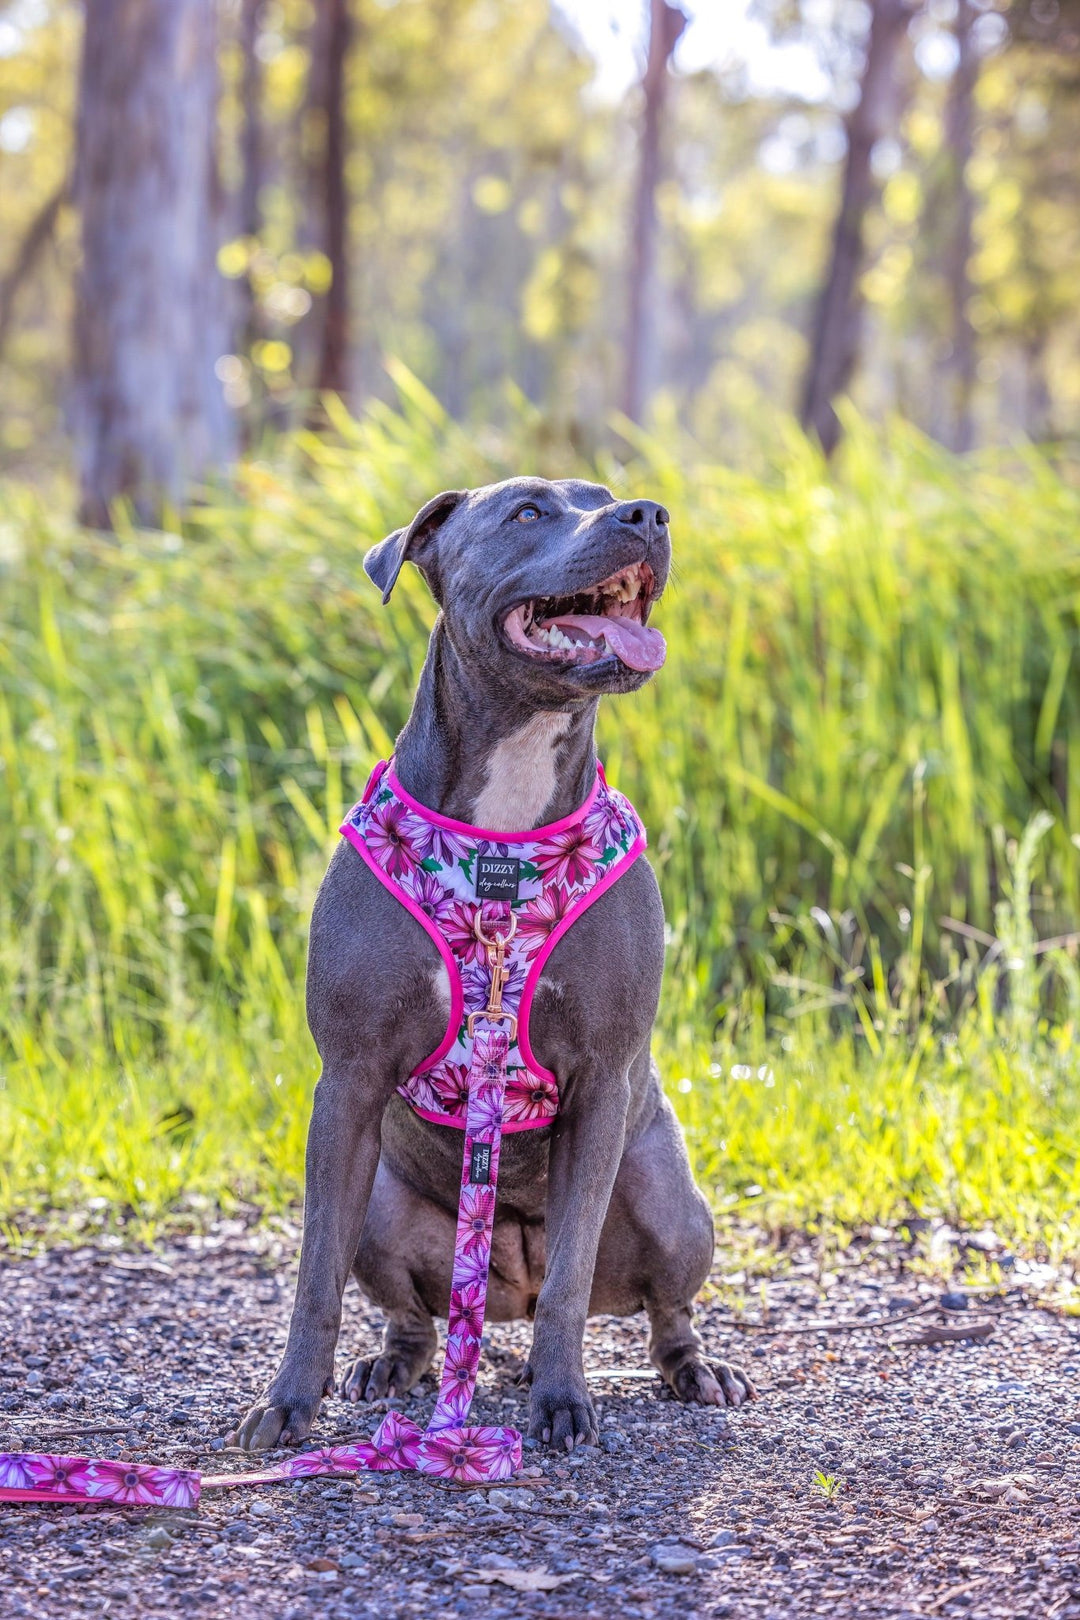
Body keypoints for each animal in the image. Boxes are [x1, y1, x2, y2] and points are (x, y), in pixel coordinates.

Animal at [234, 473, 761, 1451]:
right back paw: (392, 1365)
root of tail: (505, 1278)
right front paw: (289, 1401)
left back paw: (695, 1369)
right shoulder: (348, 1082)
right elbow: (314, 1277)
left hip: (671, 1204)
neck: (502, 838)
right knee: (414, 1312)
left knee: (659, 1305)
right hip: (384, 1207)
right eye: (527, 512)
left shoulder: (599, 1081)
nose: (647, 514)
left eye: (605, 493)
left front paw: (562, 1399)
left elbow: (570, 1291)